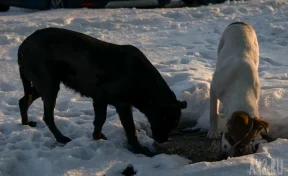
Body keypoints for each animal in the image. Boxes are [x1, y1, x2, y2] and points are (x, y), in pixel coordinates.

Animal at [17, 26, 187, 156]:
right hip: (49, 85)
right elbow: (120, 125)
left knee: (24, 100)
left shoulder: (118, 104)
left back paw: (25, 123)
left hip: (44, 85)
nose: (163, 140)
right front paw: (139, 150)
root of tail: (23, 44)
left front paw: (99, 137)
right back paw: (61, 138)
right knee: (47, 116)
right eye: (163, 120)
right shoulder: (109, 101)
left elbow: (112, 124)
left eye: (173, 125)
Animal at [207, 21, 270, 157]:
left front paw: (249, 146)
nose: (227, 155)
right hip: (222, 44)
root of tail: (241, 22)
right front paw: (213, 132)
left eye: (241, 145)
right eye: (231, 138)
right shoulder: (214, 89)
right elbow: (213, 113)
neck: (242, 90)